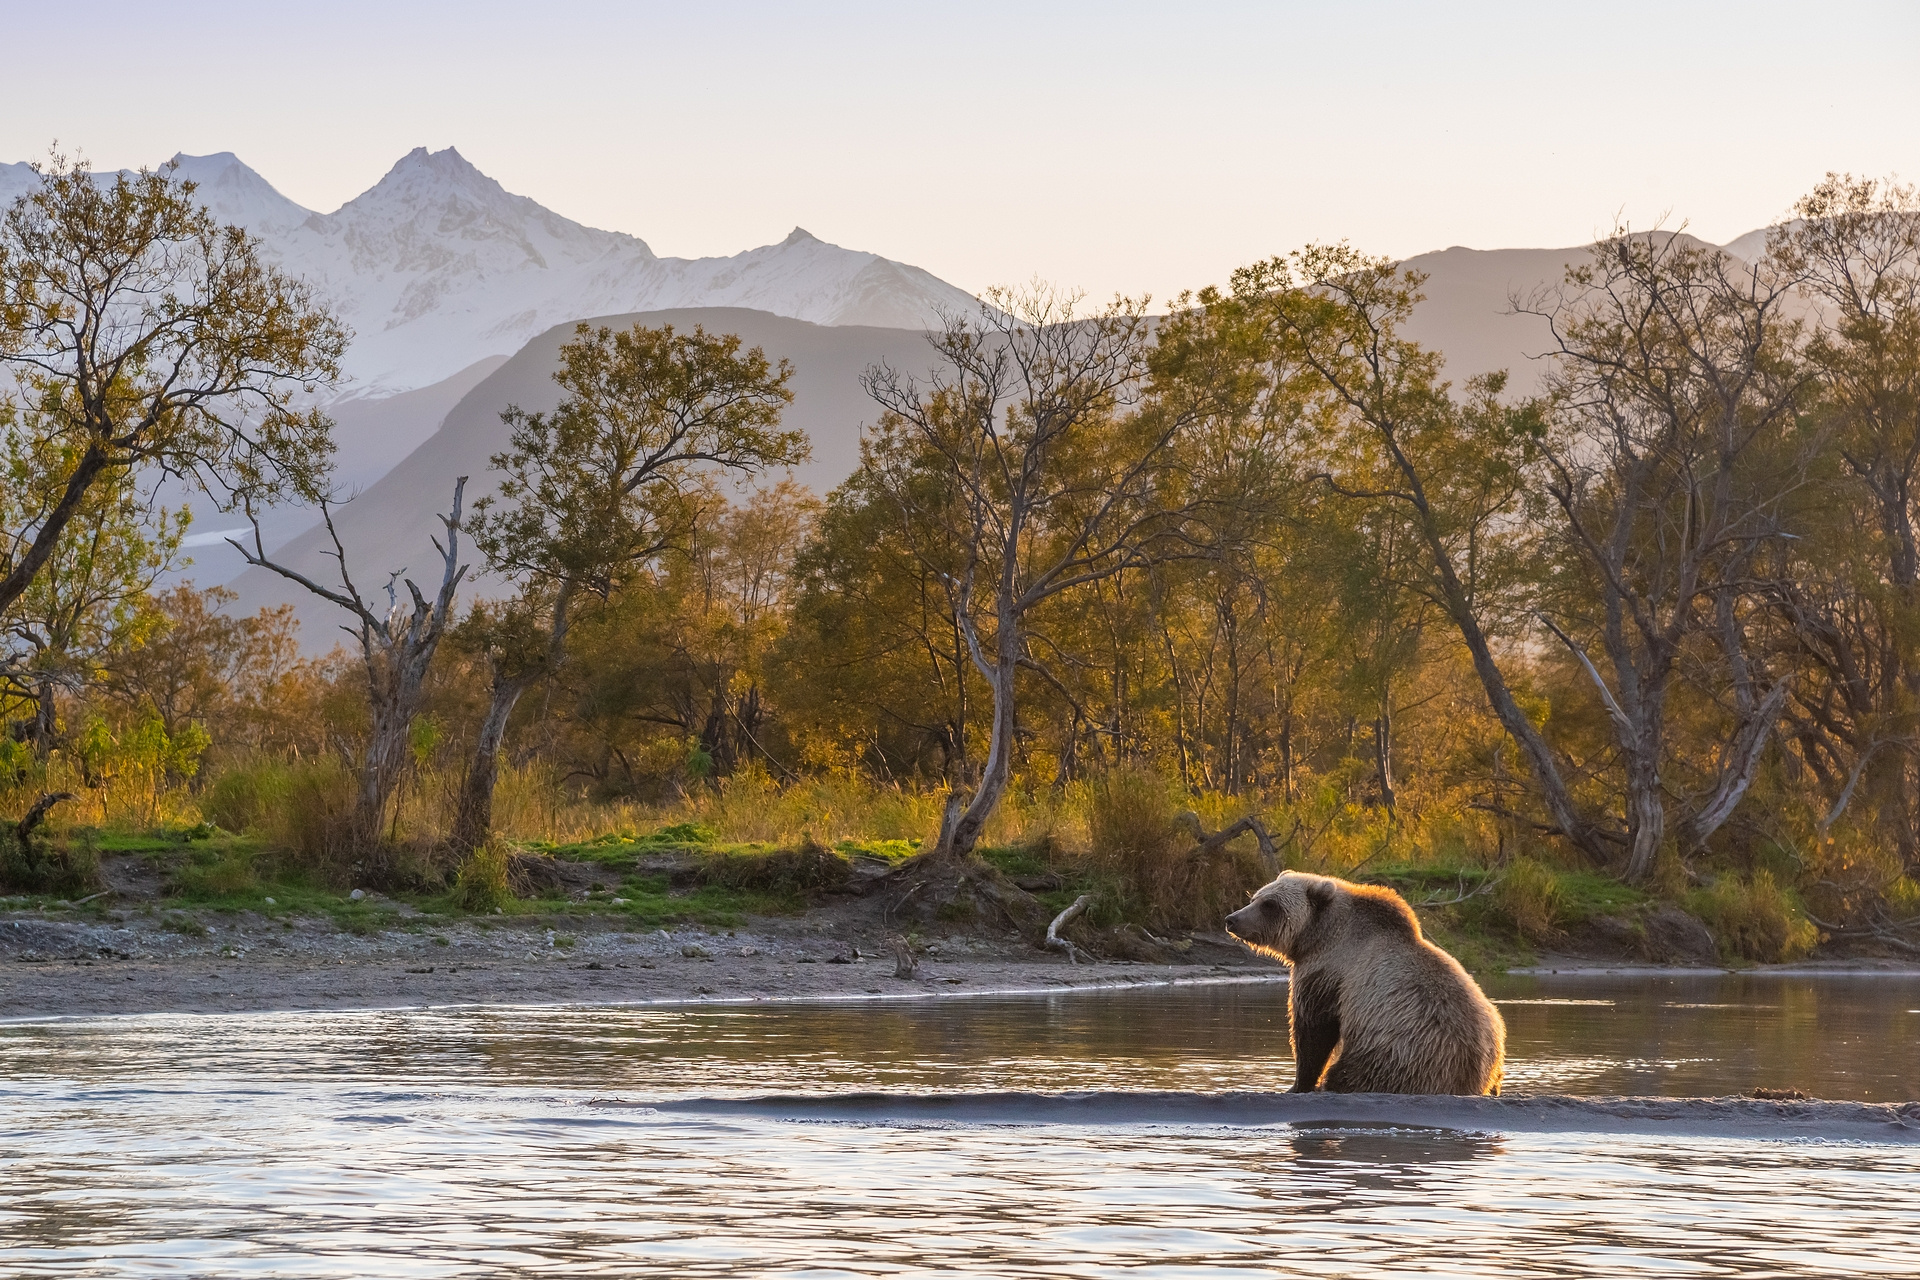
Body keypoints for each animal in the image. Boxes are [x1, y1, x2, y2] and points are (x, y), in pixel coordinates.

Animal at [1221, 875, 1505, 1097]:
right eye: (1255, 897)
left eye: (1270, 904)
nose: (1232, 919)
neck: (1318, 937)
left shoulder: (1328, 974)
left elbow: (1313, 1030)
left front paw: (1299, 1084)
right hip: (1492, 1057)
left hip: (1399, 1053)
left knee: (1352, 1073)